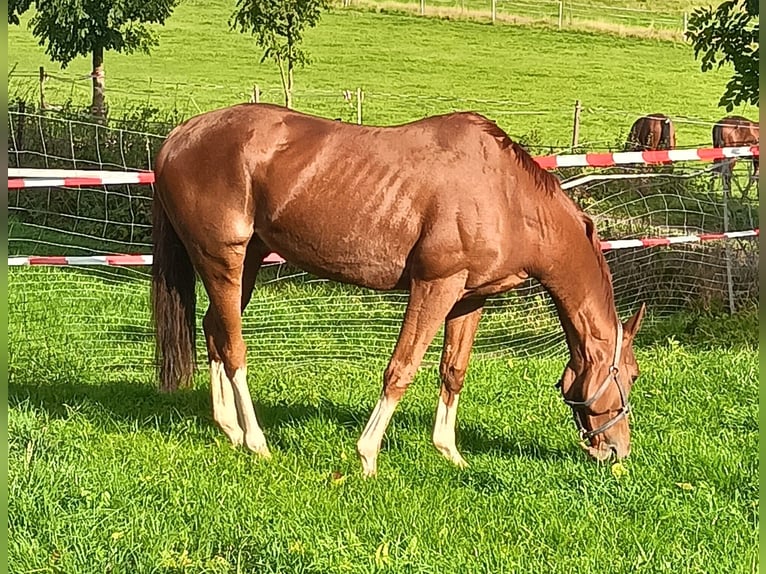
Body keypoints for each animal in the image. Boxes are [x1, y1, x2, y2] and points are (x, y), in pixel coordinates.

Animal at [151, 103, 646, 476]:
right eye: (633, 375)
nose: (617, 451)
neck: (507, 195)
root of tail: (178, 137)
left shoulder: (470, 298)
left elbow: (453, 370)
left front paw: (450, 453)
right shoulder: (435, 286)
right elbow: (401, 369)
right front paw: (367, 456)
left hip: (248, 260)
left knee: (214, 330)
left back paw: (230, 429)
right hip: (224, 260)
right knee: (234, 347)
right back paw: (256, 441)